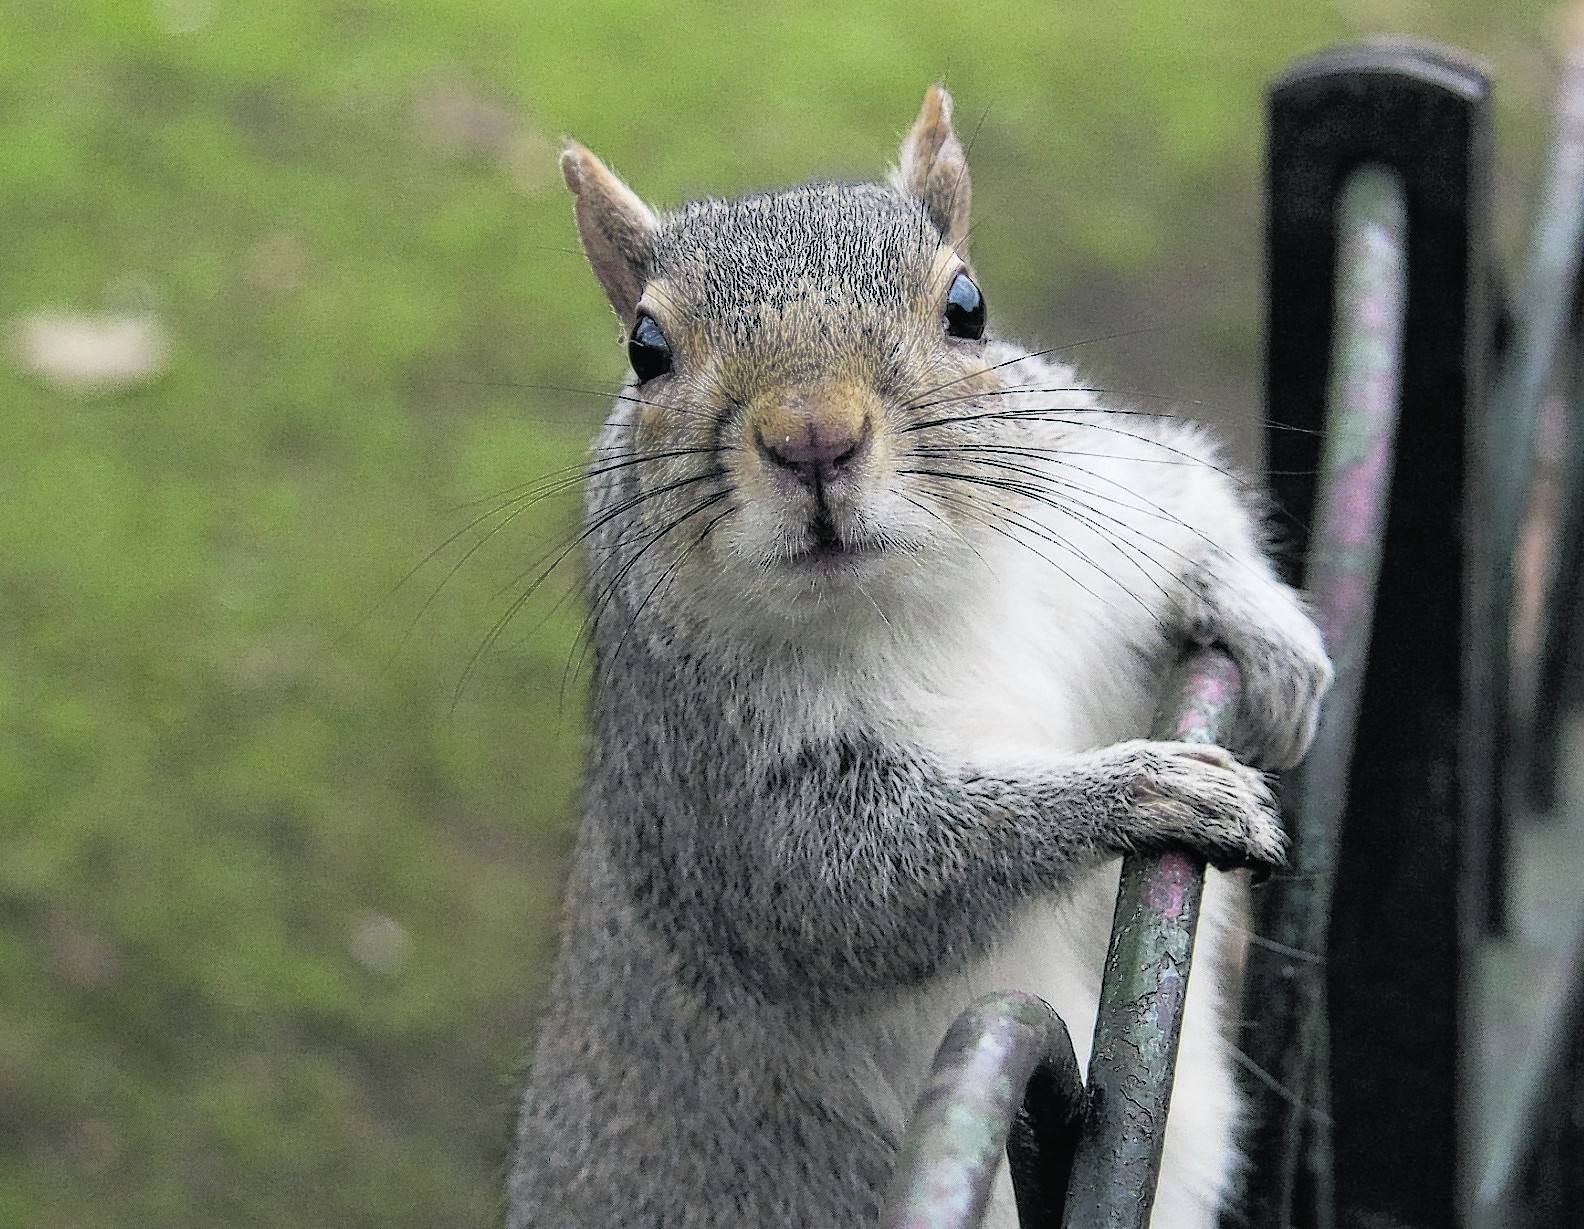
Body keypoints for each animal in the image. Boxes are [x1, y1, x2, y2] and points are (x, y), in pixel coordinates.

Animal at [503, 88, 1324, 1229]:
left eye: (967, 306)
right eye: (646, 348)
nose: (813, 436)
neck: (923, 595)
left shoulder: (1106, 495)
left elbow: (1192, 501)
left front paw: (1268, 627)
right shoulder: (711, 786)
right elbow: (847, 888)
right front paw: (1148, 787)